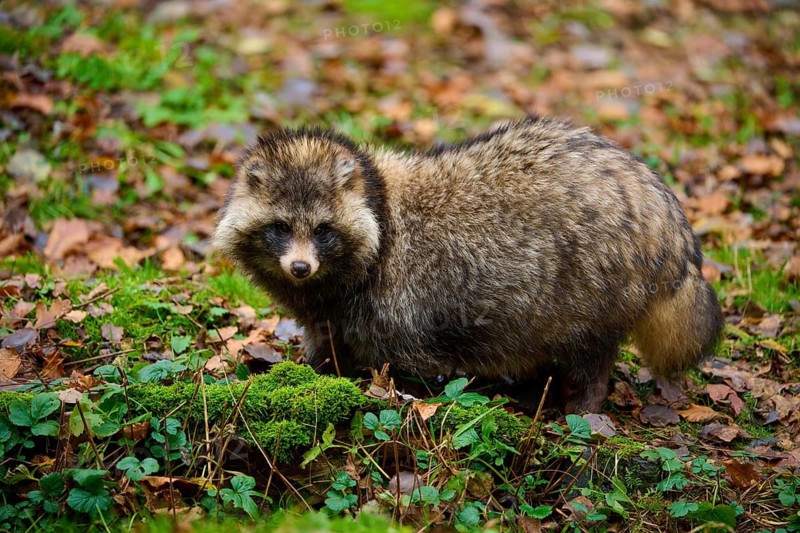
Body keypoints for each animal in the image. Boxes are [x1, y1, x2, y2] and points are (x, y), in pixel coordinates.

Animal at [213, 116, 724, 412]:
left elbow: (407, 365)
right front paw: (311, 371)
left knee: (590, 352)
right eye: (281, 227)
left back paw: (584, 402)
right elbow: (326, 341)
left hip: (598, 283)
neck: (380, 203)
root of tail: (665, 211)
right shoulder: (332, 308)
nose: (300, 268)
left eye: (322, 230)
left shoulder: (395, 303)